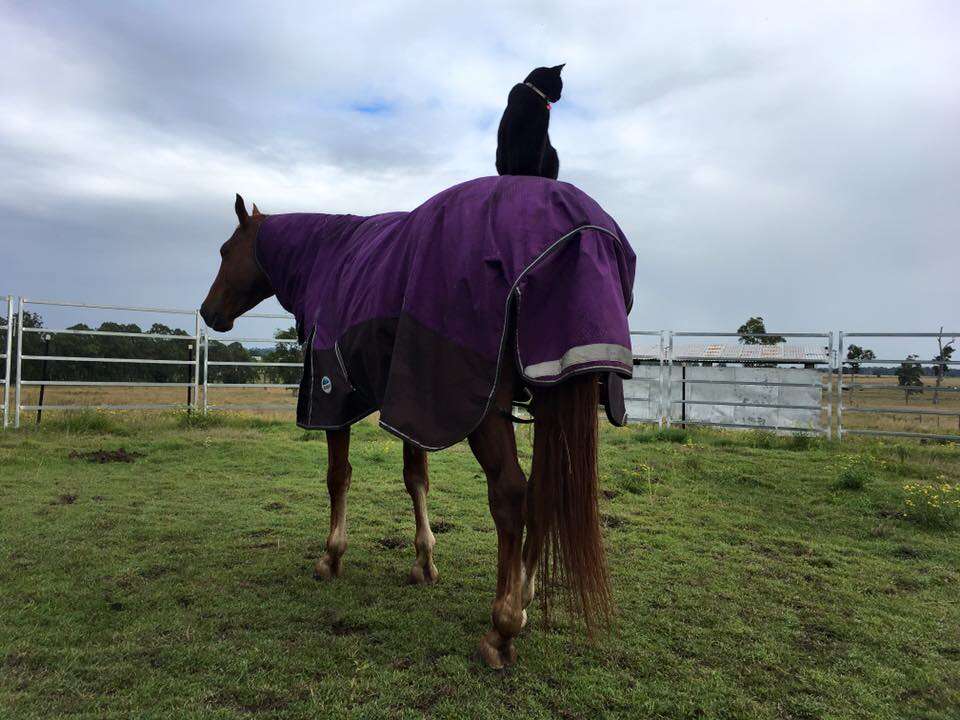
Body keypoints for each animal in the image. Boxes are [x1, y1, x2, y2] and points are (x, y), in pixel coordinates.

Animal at [201, 176, 636, 668]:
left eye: (225, 250)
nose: (208, 312)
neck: (325, 259)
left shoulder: (333, 394)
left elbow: (338, 476)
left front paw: (332, 557)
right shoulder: (410, 399)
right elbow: (416, 478)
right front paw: (424, 562)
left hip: (486, 409)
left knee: (510, 494)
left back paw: (502, 625)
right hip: (548, 394)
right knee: (544, 493)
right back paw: (522, 597)